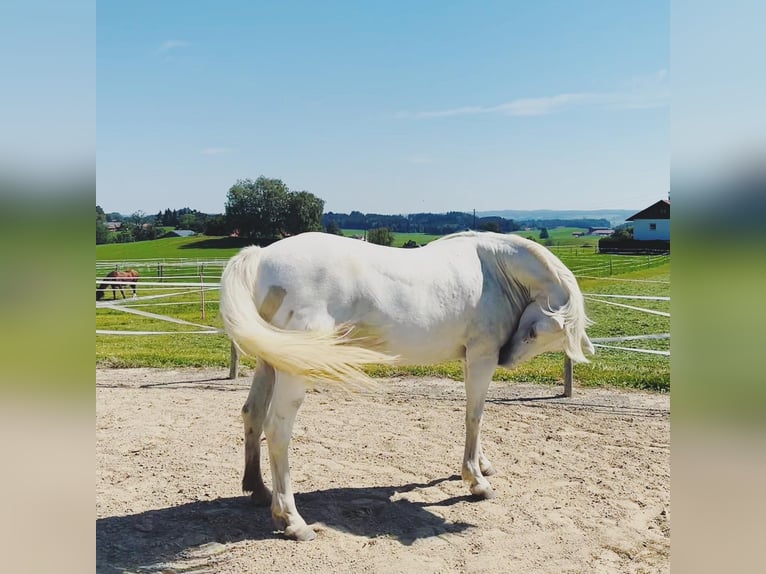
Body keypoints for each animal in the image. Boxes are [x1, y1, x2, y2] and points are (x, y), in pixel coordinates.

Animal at [219, 232, 596, 544]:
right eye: (534, 332)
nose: (506, 357)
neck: (495, 269)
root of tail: (262, 256)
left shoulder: (473, 360)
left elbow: (476, 415)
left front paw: (483, 463)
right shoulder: (481, 357)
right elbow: (474, 416)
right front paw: (476, 480)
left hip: (272, 361)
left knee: (253, 414)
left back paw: (258, 490)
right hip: (295, 371)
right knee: (277, 431)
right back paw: (293, 521)